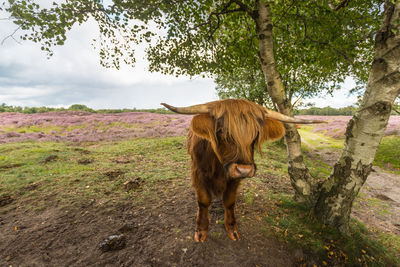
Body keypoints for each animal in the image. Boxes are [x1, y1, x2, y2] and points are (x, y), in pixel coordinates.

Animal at [161, 99, 324, 243]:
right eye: (221, 131)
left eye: (256, 134)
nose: (244, 170)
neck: (220, 167)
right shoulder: (198, 172)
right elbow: (203, 201)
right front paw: (201, 231)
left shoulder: (234, 179)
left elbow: (229, 201)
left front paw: (232, 229)